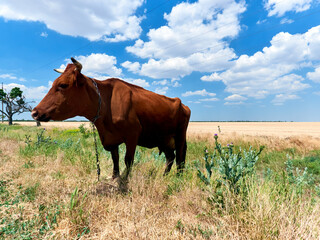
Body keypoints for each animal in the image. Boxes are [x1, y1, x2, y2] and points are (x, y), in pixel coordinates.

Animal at [32, 57, 191, 178]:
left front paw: (125, 179)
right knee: (170, 157)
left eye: (63, 85)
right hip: (163, 139)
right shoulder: (110, 139)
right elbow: (115, 159)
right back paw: (164, 176)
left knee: (180, 158)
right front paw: (115, 177)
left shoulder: (133, 134)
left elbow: (128, 160)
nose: (34, 112)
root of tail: (182, 104)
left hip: (180, 136)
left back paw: (178, 178)